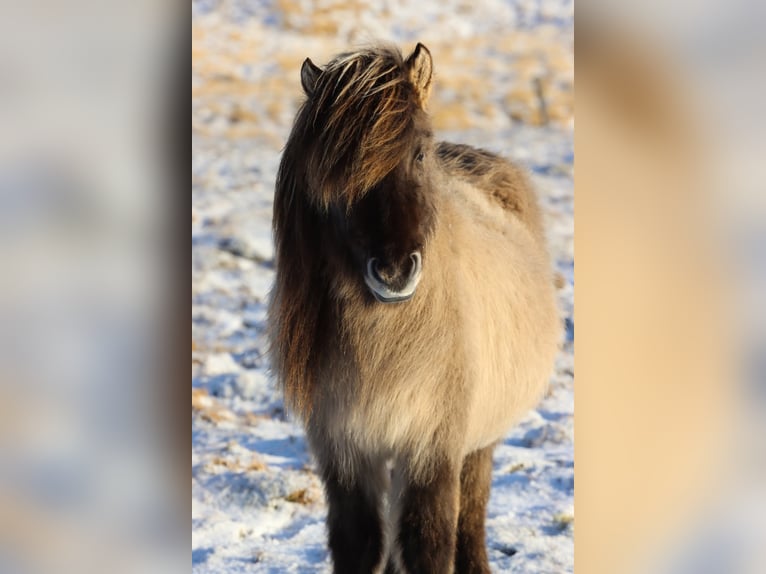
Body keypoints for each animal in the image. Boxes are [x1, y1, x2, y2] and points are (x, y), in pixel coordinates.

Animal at [268, 43, 560, 573]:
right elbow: (360, 543)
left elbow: (429, 541)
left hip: (478, 445)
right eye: (336, 172)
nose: (393, 272)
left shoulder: (431, 450)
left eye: (419, 153)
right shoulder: (346, 451)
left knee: (471, 517)